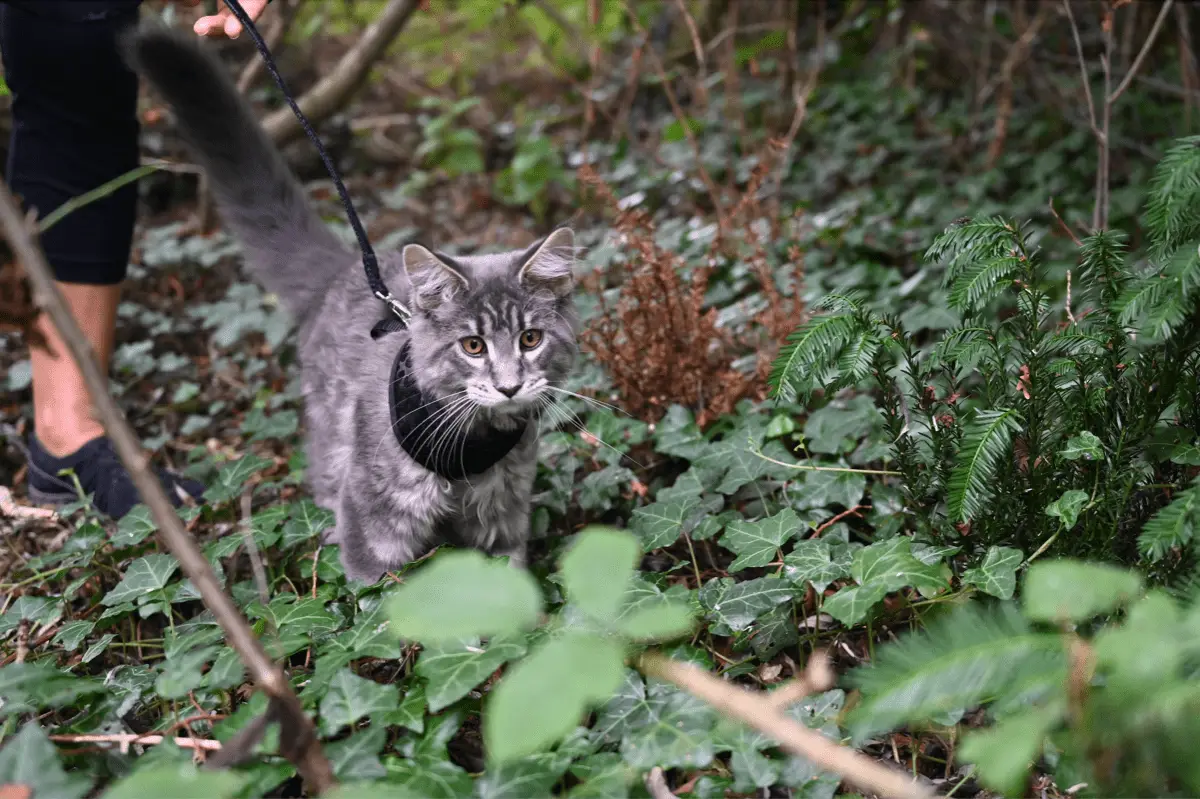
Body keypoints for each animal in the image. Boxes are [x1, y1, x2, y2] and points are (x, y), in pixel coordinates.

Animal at [124, 28, 578, 583]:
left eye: (530, 339)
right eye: (472, 346)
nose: (509, 386)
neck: (472, 444)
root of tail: (346, 270)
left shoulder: (503, 516)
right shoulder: (373, 519)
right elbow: (381, 596)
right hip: (332, 445)